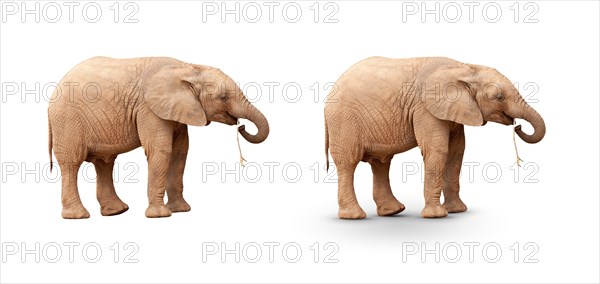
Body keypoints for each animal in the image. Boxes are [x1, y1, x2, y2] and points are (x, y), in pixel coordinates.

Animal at [326, 56, 548, 220]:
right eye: (499, 97)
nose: (517, 125)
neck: (465, 68)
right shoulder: (425, 108)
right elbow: (437, 150)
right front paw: (437, 215)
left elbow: (457, 152)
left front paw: (457, 211)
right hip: (344, 120)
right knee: (348, 163)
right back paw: (354, 216)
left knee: (381, 164)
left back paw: (394, 211)